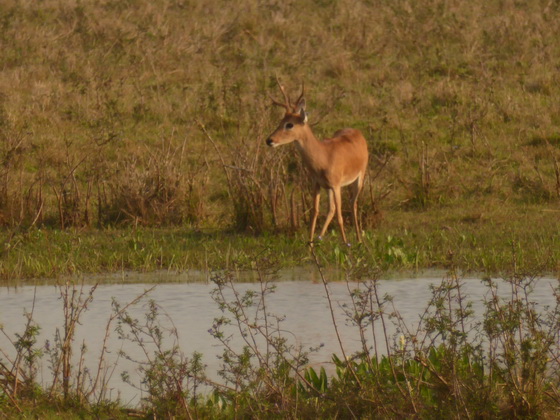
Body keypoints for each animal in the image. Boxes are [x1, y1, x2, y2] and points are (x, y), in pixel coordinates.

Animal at [266, 79, 370, 244]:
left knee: (353, 204)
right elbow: (315, 212)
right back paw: (320, 237)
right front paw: (310, 244)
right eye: (281, 121)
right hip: (329, 188)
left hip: (359, 178)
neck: (324, 157)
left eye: (290, 124)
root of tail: (358, 133)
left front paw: (346, 244)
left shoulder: (336, 185)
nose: (269, 140)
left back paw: (358, 240)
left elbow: (340, 215)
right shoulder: (317, 184)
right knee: (332, 209)